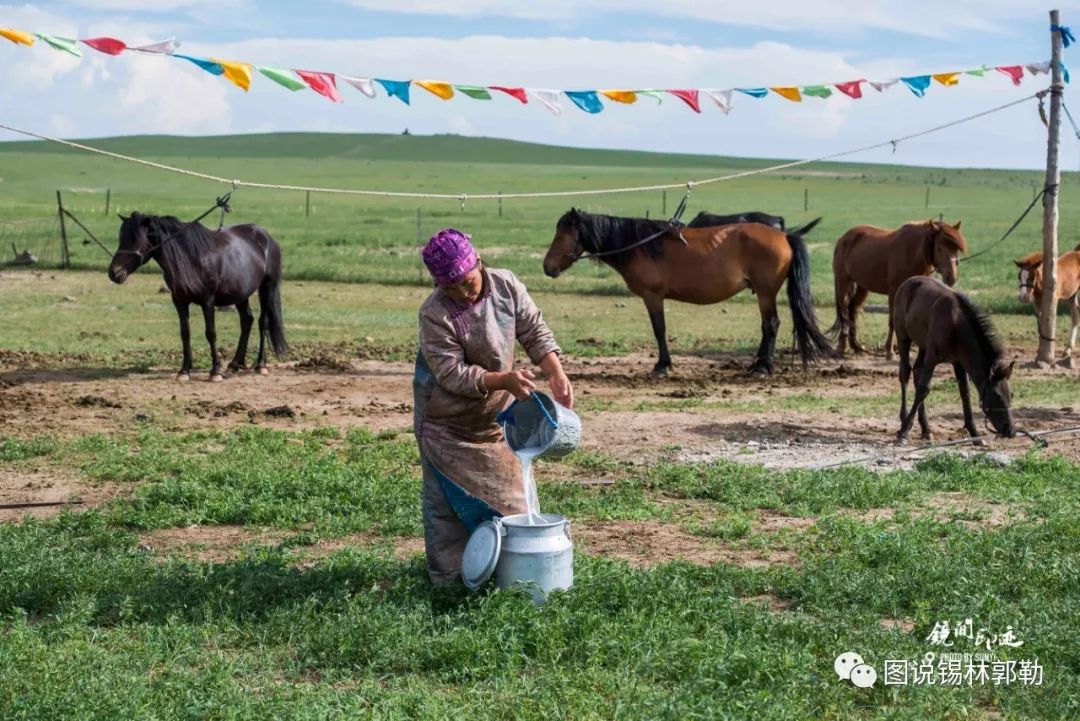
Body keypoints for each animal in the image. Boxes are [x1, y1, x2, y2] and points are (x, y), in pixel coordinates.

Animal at [107, 211, 289, 382]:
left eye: (136, 239)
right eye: (121, 238)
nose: (114, 273)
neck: (191, 259)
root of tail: (266, 237)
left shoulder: (207, 301)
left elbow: (210, 333)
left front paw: (215, 371)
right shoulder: (179, 301)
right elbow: (185, 333)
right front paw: (184, 371)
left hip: (267, 287)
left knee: (262, 323)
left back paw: (260, 365)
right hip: (241, 293)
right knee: (247, 321)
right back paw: (234, 365)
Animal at [540, 209, 833, 375]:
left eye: (562, 235)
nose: (547, 266)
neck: (640, 245)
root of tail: (784, 235)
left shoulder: (653, 296)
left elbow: (659, 330)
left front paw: (662, 366)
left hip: (765, 292)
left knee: (771, 324)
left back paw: (762, 367)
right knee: (767, 326)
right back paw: (757, 363)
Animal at [825, 216, 972, 358]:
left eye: (956, 250)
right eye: (940, 248)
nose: (951, 278)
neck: (911, 253)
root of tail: (843, 238)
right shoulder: (894, 292)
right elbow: (893, 321)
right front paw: (889, 351)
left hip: (862, 286)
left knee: (853, 309)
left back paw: (856, 346)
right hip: (842, 281)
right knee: (843, 310)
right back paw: (842, 347)